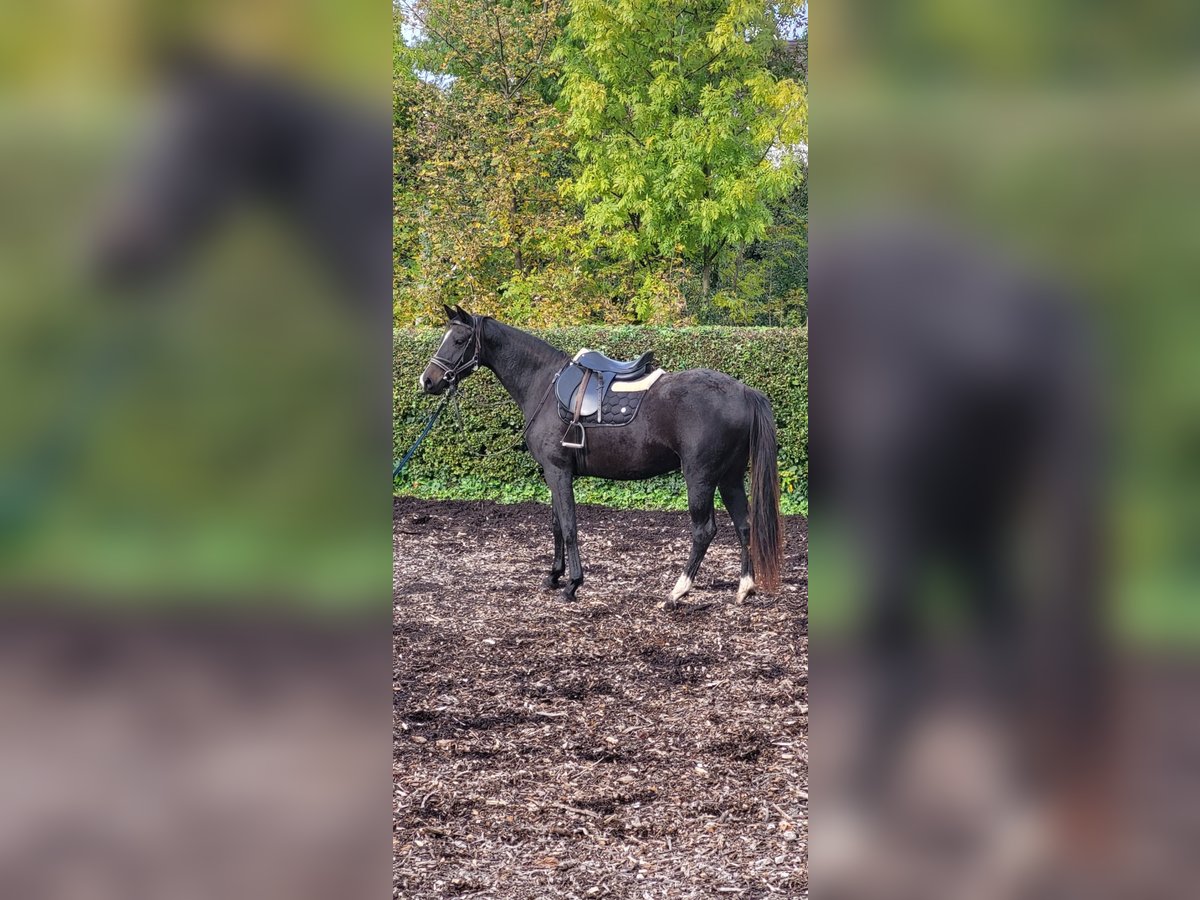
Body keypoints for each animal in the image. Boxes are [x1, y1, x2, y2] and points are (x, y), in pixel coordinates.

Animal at [417, 307, 782, 609]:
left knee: (704, 531)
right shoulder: (553, 473)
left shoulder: (558, 471)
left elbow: (569, 527)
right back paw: (744, 588)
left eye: (460, 339)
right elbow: (555, 524)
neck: (544, 385)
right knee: (744, 525)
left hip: (700, 477)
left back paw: (677, 591)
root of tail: (744, 391)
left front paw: (572, 585)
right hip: (730, 477)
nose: (428, 380)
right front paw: (554, 576)